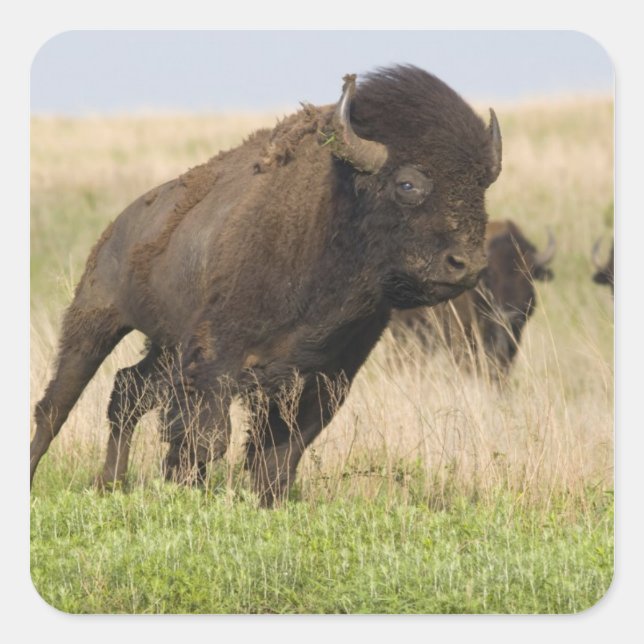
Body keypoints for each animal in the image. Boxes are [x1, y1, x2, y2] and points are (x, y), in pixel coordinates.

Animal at [30, 65, 502, 506]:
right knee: (56, 405)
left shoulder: (325, 381)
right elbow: (206, 439)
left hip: (164, 348)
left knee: (126, 391)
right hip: (94, 320)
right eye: (408, 183)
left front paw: (261, 502)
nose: (467, 264)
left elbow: (279, 455)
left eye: (481, 187)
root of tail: (120, 224)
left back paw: (109, 483)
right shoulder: (215, 360)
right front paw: (189, 492)